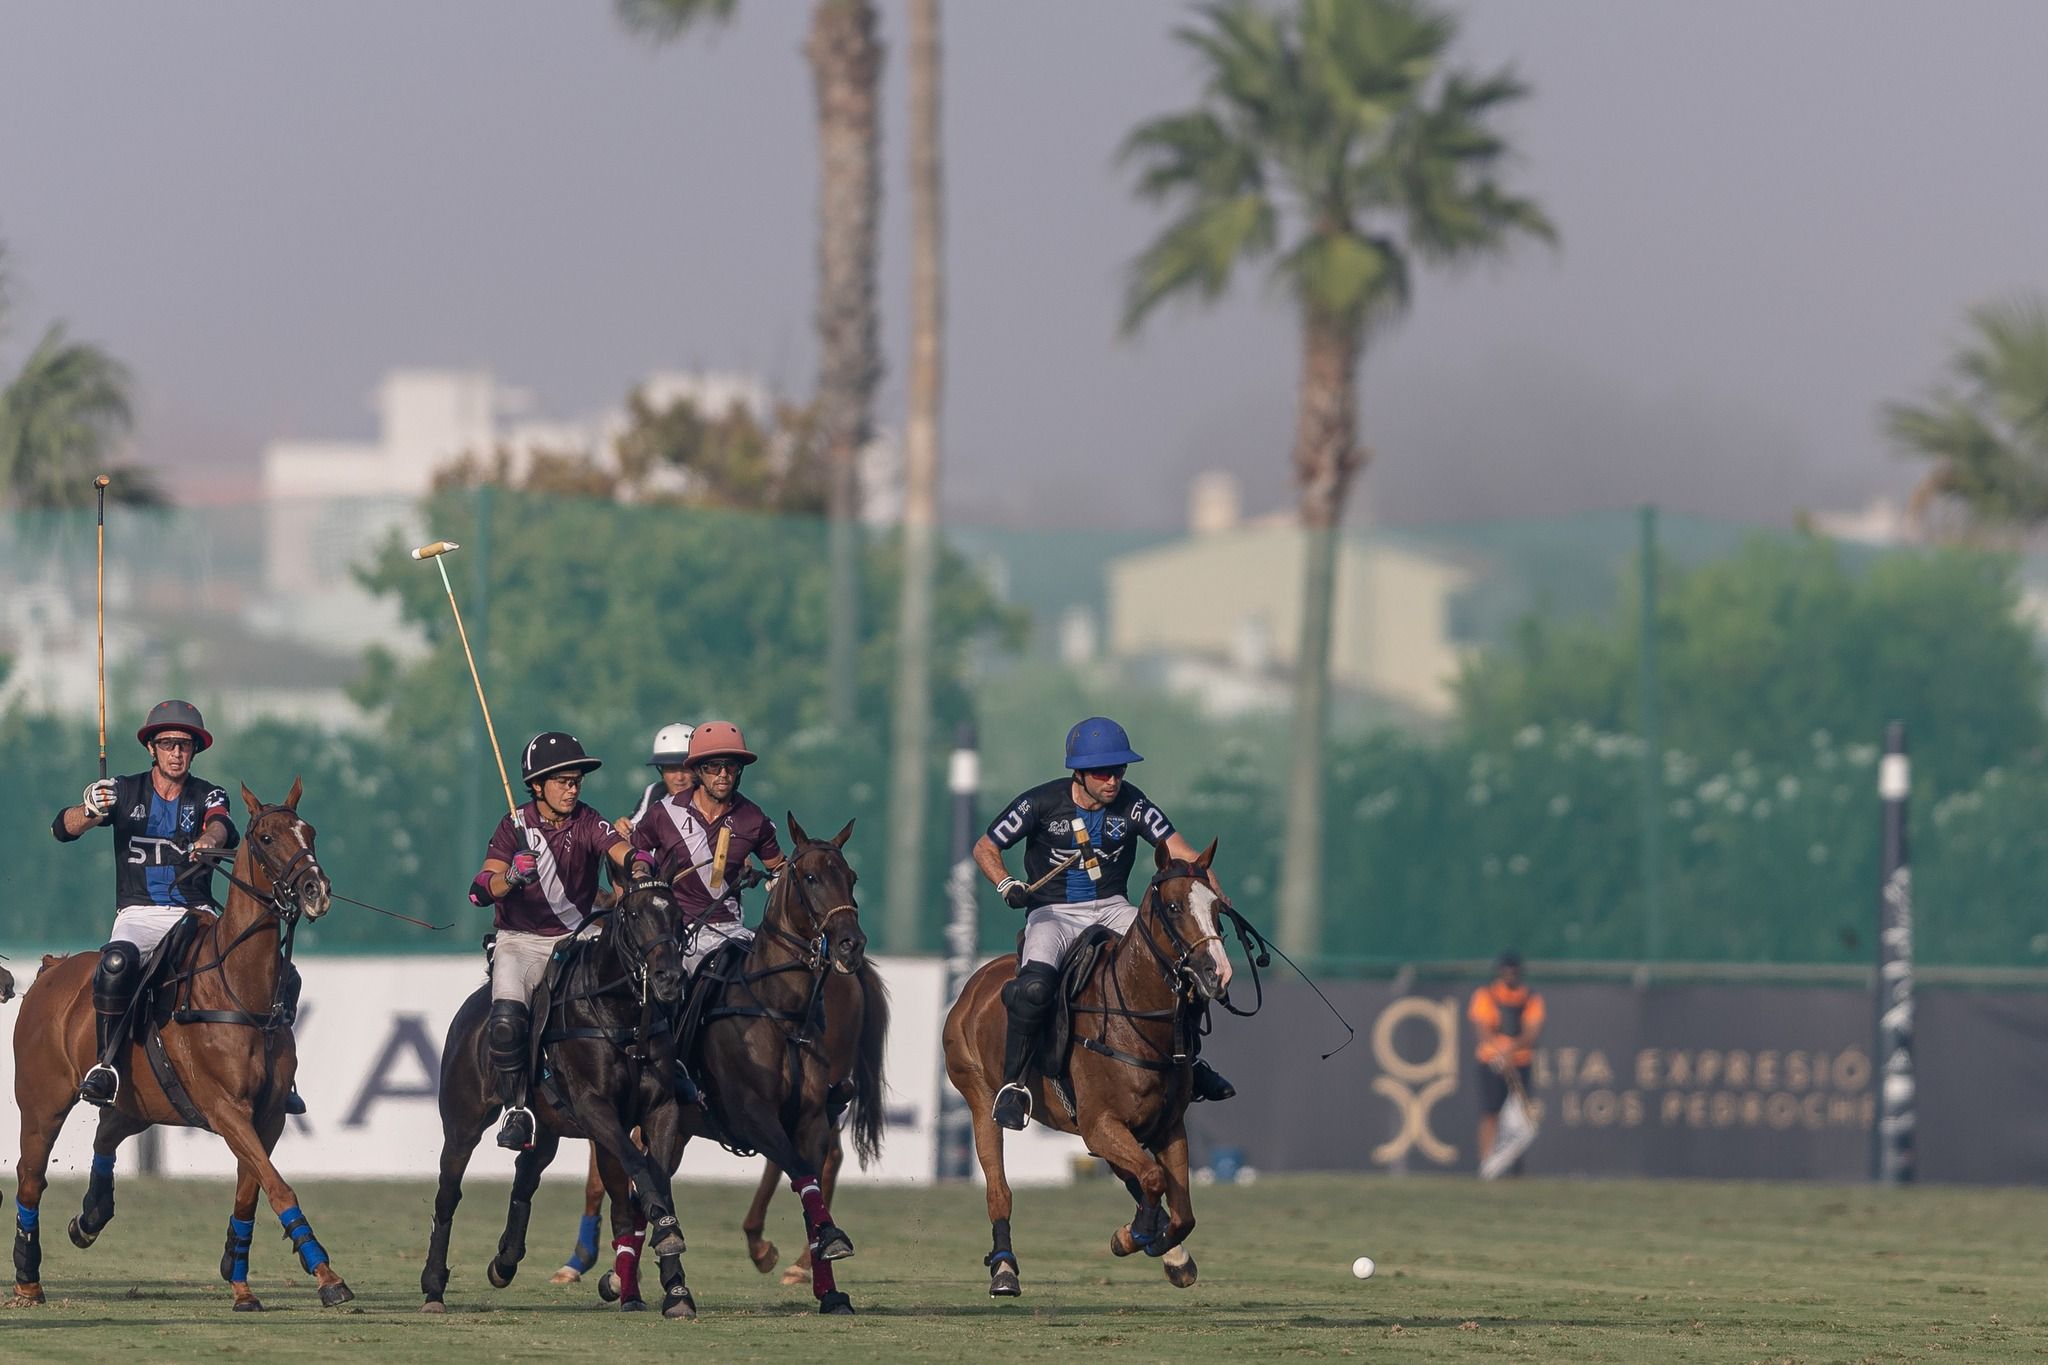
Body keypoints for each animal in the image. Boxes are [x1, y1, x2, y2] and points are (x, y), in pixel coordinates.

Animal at [9, 777, 348, 1309]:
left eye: (309, 832)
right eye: (266, 837)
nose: (317, 890)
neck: (237, 988)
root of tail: (49, 970)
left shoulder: (269, 1113)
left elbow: (252, 1191)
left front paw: (240, 1281)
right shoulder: (225, 1107)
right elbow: (278, 1187)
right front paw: (327, 1276)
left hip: (138, 1100)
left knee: (106, 1134)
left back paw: (90, 1218)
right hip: (42, 1101)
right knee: (30, 1177)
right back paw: (27, 1280)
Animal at [419, 871, 700, 1317]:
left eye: (678, 915)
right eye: (634, 914)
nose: (669, 979)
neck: (620, 1015)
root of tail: (478, 1001)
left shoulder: (661, 1108)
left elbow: (651, 1179)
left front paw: (675, 1290)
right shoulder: (595, 1108)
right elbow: (639, 1166)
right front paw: (664, 1250)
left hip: (548, 1128)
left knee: (527, 1175)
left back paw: (506, 1262)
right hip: (463, 1122)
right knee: (448, 1193)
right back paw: (433, 1289)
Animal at [585, 818, 888, 1317]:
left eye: (852, 876)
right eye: (810, 877)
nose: (851, 944)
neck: (777, 1007)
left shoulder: (809, 1118)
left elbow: (806, 1181)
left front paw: (830, 1283)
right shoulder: (750, 1113)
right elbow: (797, 1169)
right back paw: (629, 1283)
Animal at [946, 839, 1228, 1301]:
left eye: (1217, 906)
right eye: (1172, 907)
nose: (1216, 972)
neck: (1135, 1017)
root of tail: (973, 982)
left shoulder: (1167, 1127)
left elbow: (1180, 1209)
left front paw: (1167, 1248)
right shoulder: (1101, 1123)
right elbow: (1153, 1179)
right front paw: (1134, 1236)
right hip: (979, 1099)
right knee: (998, 1189)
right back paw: (1004, 1268)